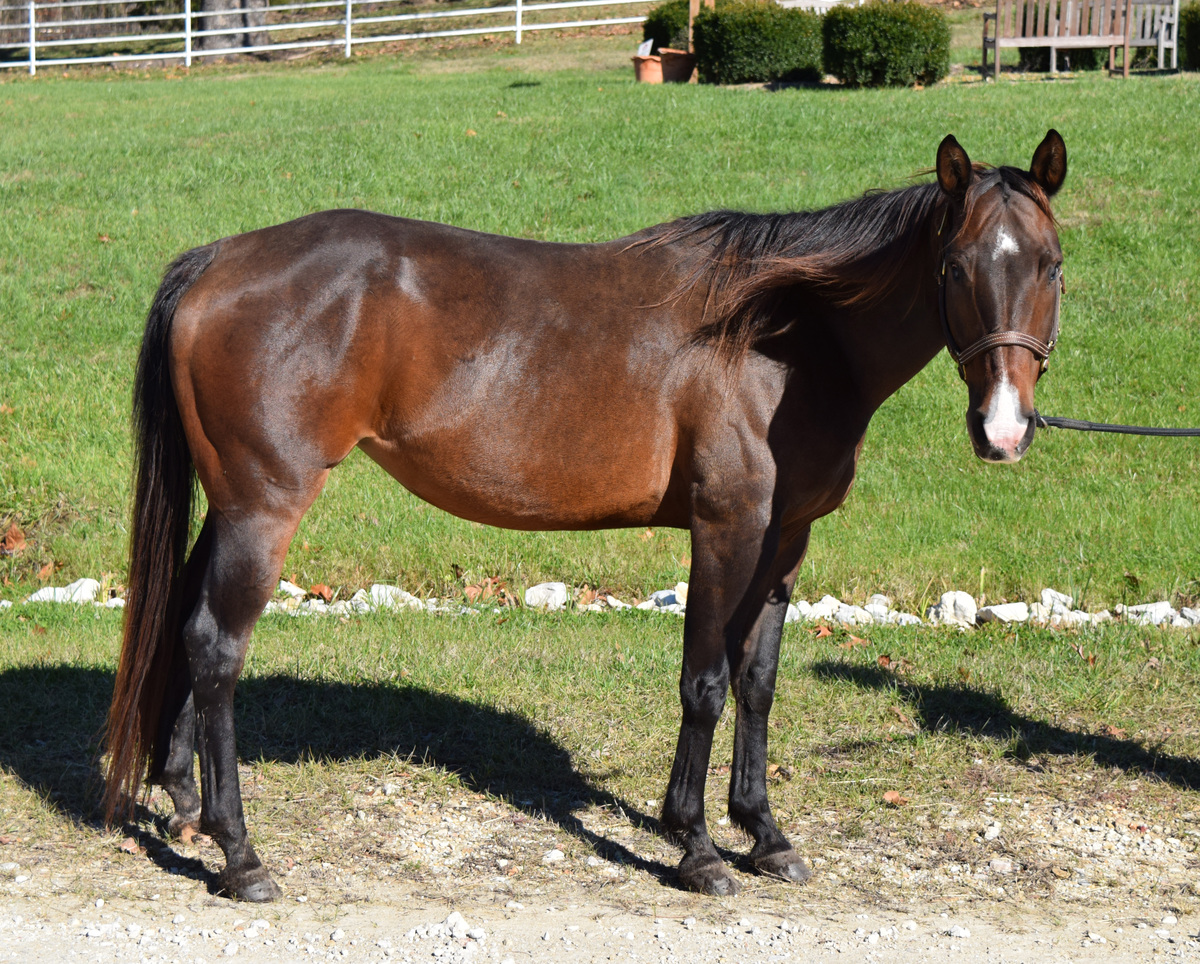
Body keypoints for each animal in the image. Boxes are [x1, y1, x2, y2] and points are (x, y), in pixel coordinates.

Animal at [103, 130, 1068, 901]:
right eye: (955, 266)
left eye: (1051, 264)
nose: (1004, 429)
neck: (784, 339)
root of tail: (219, 259)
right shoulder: (726, 531)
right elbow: (704, 682)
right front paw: (696, 847)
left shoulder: (786, 540)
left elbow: (756, 683)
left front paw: (764, 833)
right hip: (265, 509)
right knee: (219, 650)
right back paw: (241, 855)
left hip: (232, 506)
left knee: (190, 628)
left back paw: (185, 803)